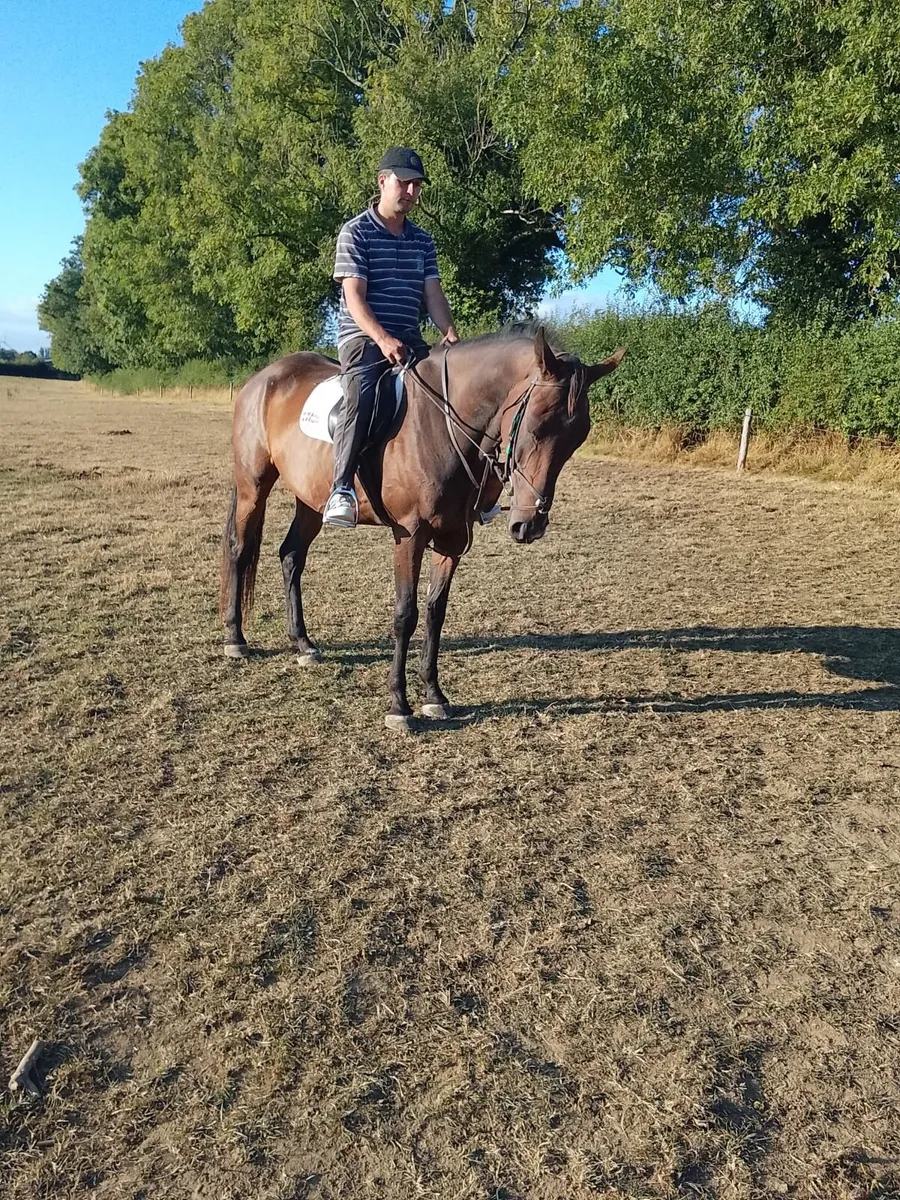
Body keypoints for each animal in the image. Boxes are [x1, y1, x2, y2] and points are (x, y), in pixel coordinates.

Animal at [219, 323, 626, 730]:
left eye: (578, 437)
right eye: (537, 425)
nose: (530, 524)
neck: (442, 426)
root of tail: (263, 379)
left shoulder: (452, 539)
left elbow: (435, 612)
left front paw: (434, 696)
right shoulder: (410, 536)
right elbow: (406, 614)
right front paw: (399, 705)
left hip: (310, 499)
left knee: (291, 555)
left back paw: (303, 643)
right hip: (253, 486)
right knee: (240, 549)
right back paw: (236, 638)